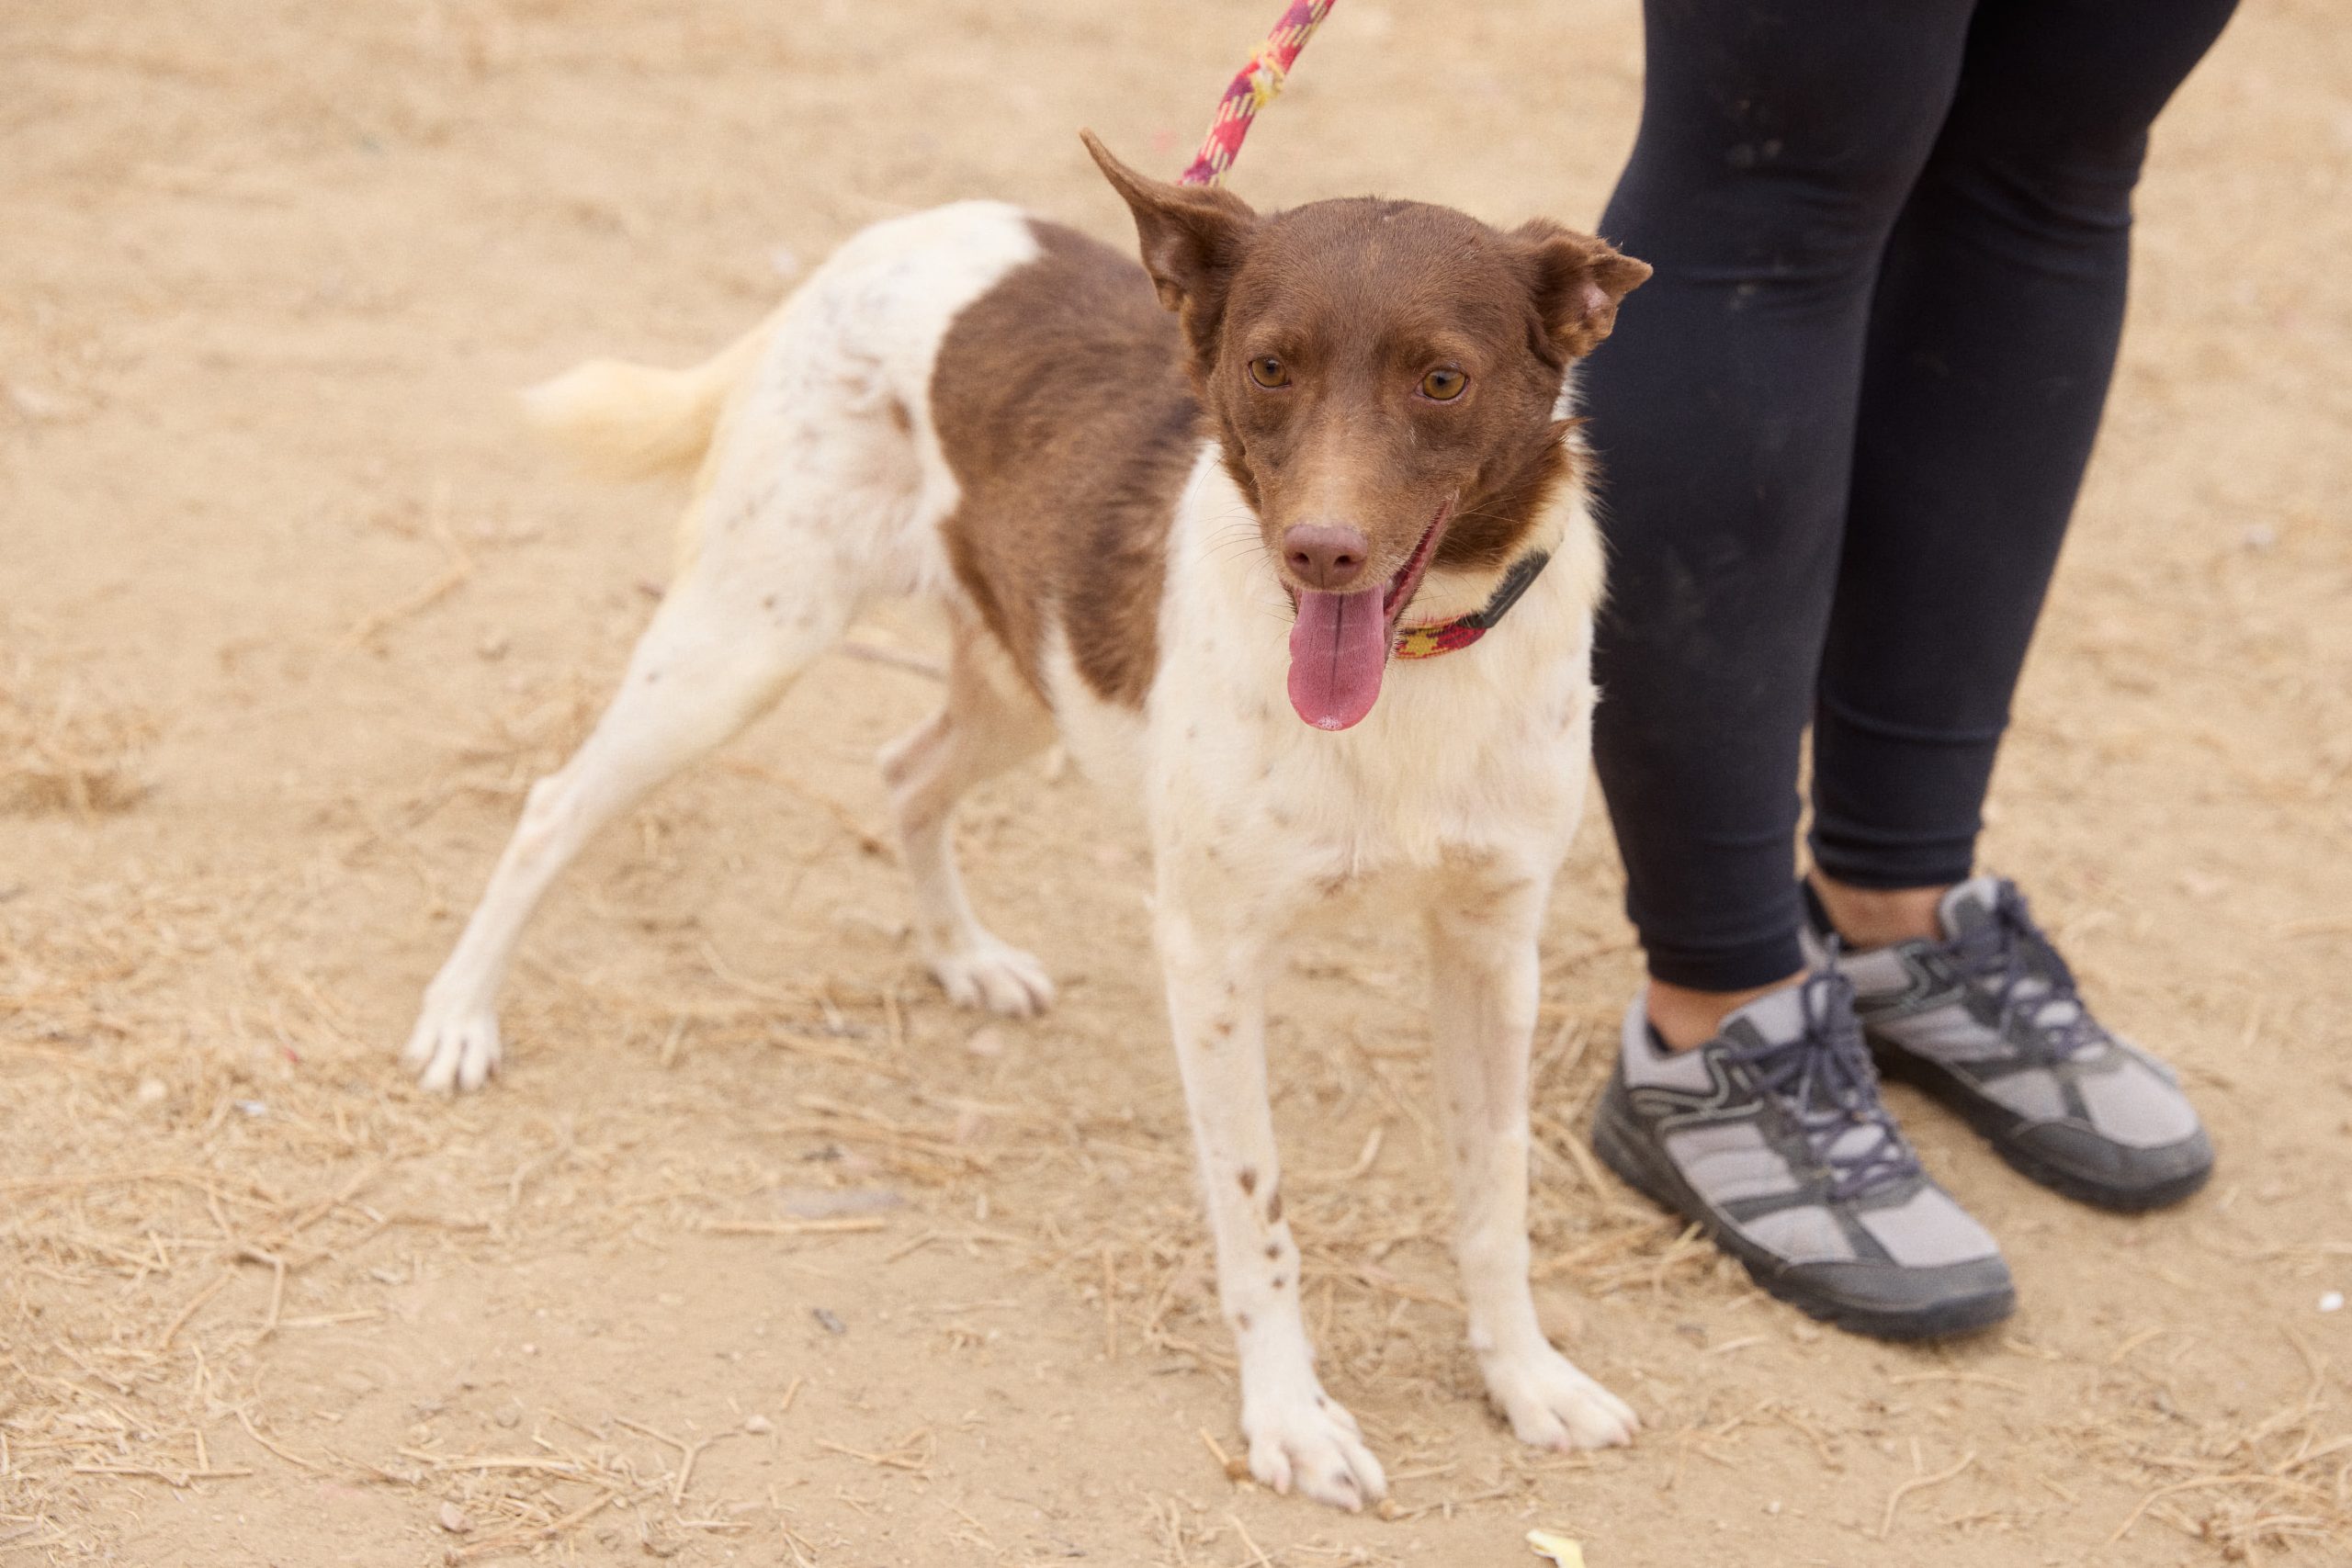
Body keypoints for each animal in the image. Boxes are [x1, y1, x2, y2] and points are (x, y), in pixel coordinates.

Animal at [403, 133, 1650, 1510]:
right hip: (743, 640)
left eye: (1442, 378)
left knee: (905, 772)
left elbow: (1496, 1192)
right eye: (1269, 367)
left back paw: (963, 957)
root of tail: (872, 247)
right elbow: (1257, 1211)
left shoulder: (1493, 948)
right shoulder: (1211, 958)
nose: (1320, 553)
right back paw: (460, 1016)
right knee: (552, 806)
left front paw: (1523, 1376)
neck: (1418, 663)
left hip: (1028, 674)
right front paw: (1291, 1417)